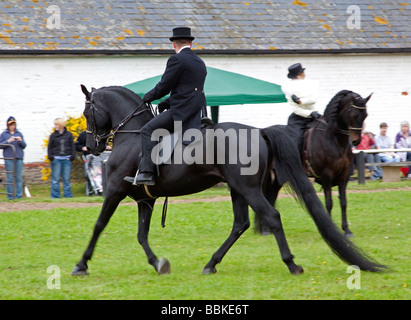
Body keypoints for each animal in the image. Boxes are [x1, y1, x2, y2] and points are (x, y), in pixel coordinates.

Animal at [260, 90, 374, 238]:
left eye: (365, 115)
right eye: (354, 114)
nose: (356, 141)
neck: (334, 140)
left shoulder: (343, 177)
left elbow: (343, 202)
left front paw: (347, 230)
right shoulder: (326, 176)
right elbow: (329, 203)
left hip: (278, 177)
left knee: (271, 196)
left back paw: (268, 229)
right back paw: (264, 229)